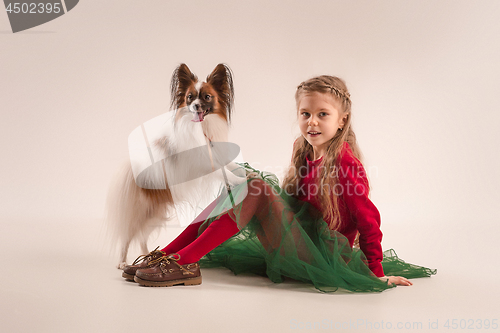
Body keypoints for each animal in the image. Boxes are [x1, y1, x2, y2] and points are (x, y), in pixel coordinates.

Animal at [108, 63, 246, 268]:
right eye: (189, 97)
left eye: (207, 97)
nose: (194, 105)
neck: (202, 128)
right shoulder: (203, 162)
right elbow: (222, 172)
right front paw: (238, 181)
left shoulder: (215, 152)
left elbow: (229, 165)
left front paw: (244, 172)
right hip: (142, 212)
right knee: (128, 234)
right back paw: (123, 262)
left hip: (155, 214)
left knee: (141, 237)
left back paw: (147, 256)